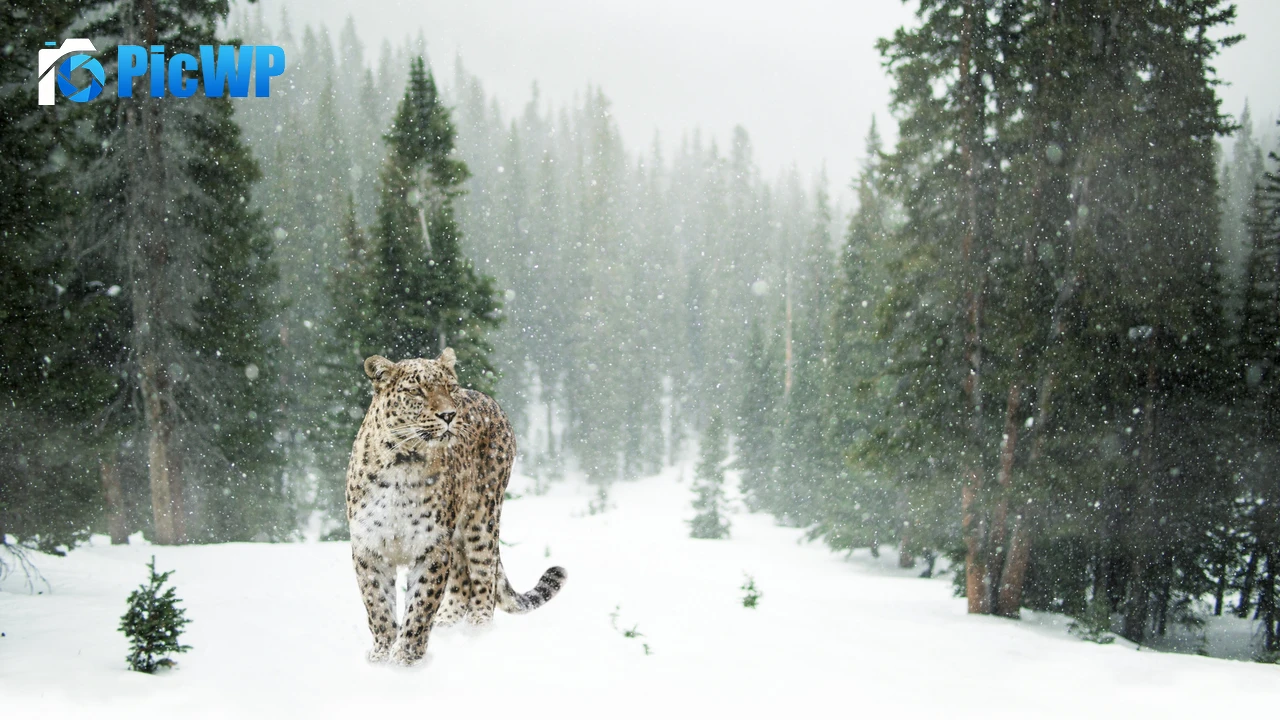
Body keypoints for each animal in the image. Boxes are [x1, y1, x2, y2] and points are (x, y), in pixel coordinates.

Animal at [345, 348, 566, 666]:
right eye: (416, 391)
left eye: (449, 388)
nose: (449, 415)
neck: (403, 463)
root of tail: (489, 399)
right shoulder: (369, 547)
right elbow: (378, 606)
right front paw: (381, 655)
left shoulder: (432, 546)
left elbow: (421, 605)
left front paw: (406, 658)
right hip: (459, 534)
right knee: (462, 578)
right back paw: (448, 625)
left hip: (482, 518)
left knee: (483, 575)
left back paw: (477, 631)